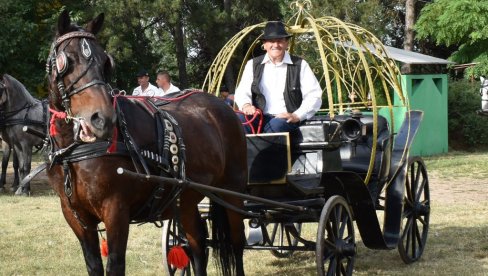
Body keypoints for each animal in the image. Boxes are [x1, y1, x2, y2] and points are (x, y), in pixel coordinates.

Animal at [46, 9, 248, 274]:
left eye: (105, 62)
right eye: (66, 61)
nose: (102, 119)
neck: (76, 152)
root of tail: (224, 107)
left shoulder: (116, 211)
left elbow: (115, 264)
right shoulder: (74, 215)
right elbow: (93, 265)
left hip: (232, 191)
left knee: (236, 243)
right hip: (187, 198)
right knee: (197, 242)